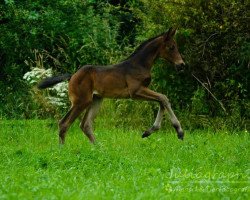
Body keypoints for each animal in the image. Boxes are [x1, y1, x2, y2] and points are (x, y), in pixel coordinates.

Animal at [37, 27, 186, 144]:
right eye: (171, 47)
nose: (181, 64)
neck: (140, 64)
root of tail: (72, 76)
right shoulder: (135, 91)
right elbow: (163, 98)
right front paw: (179, 131)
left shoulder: (142, 90)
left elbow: (162, 100)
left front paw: (149, 131)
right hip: (81, 101)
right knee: (64, 123)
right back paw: (61, 150)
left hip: (95, 99)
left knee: (85, 125)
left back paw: (100, 149)